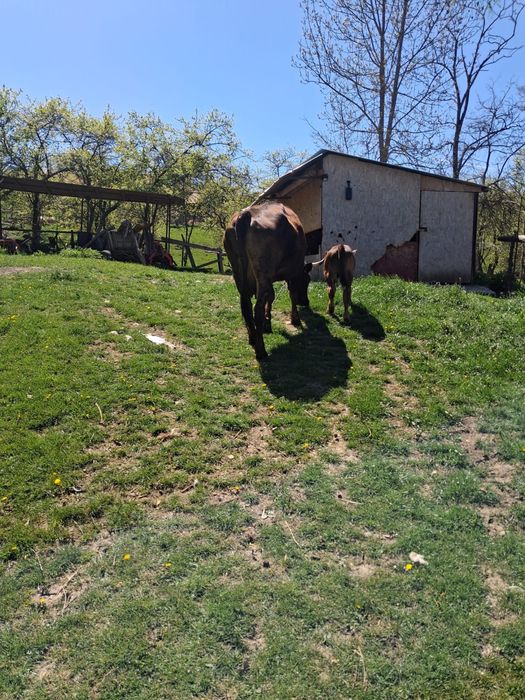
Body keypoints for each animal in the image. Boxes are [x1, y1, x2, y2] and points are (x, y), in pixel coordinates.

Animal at [223, 202, 312, 360]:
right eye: (307, 281)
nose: (306, 302)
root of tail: (246, 214)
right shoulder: (293, 274)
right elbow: (292, 295)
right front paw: (295, 319)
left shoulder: (269, 279)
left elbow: (270, 296)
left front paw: (267, 323)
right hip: (262, 272)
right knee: (256, 309)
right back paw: (261, 350)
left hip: (238, 272)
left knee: (246, 306)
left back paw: (252, 338)